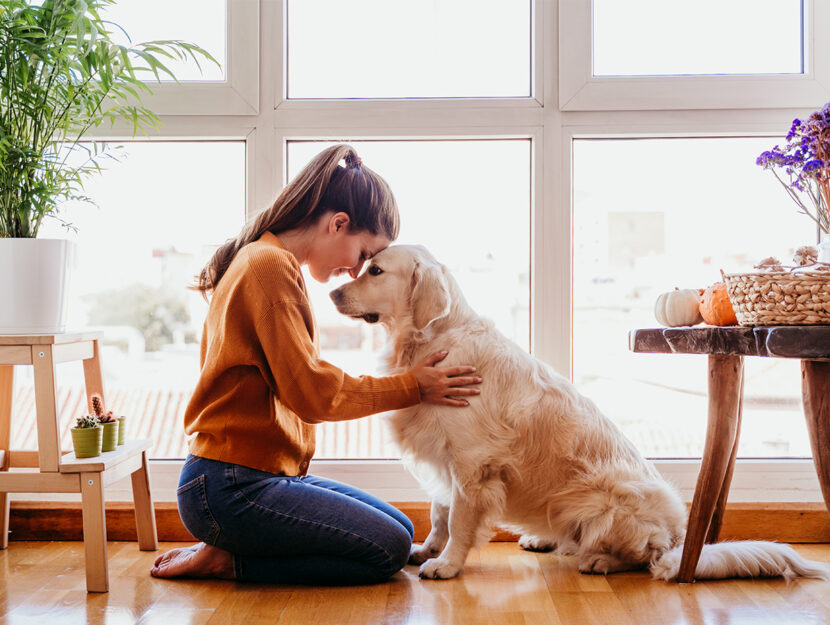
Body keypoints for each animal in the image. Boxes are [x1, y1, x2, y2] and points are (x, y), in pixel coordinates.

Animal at [328, 244, 828, 580]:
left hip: (604, 500)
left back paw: (600, 559)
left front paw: (447, 564)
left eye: (375, 270)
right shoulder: (443, 455)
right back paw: (544, 538)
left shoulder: (472, 463)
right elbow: (438, 512)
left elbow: (460, 519)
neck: (430, 341)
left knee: (643, 557)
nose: (331, 294)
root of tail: (678, 537)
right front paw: (427, 550)